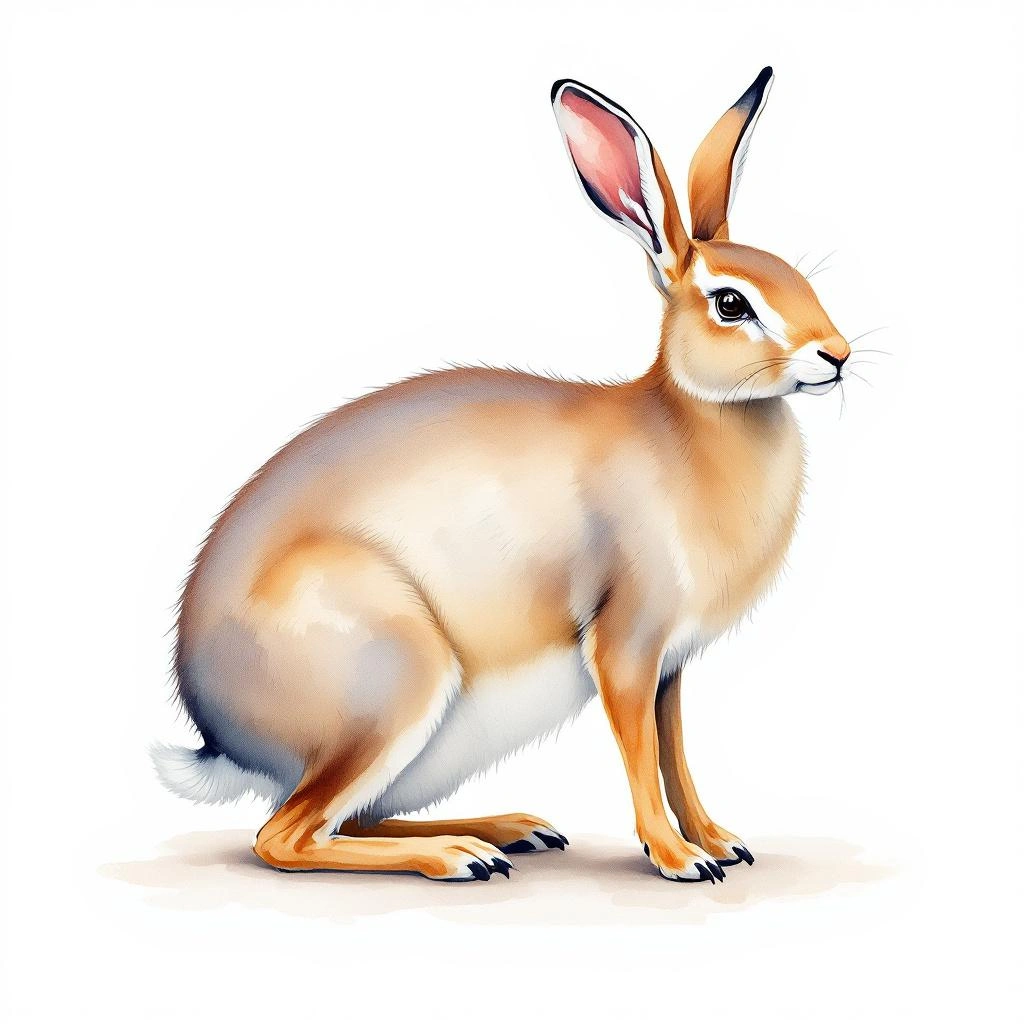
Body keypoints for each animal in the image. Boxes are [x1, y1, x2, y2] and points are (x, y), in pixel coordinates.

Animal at [153, 67, 852, 883]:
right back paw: (459, 857)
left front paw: (719, 842)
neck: (688, 422)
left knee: (341, 818)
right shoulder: (627, 644)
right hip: (396, 677)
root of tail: (219, 735)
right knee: (285, 837)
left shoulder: (670, 667)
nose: (837, 354)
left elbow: (675, 752)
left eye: (797, 276)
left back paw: (509, 830)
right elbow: (642, 755)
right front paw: (680, 859)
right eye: (732, 303)